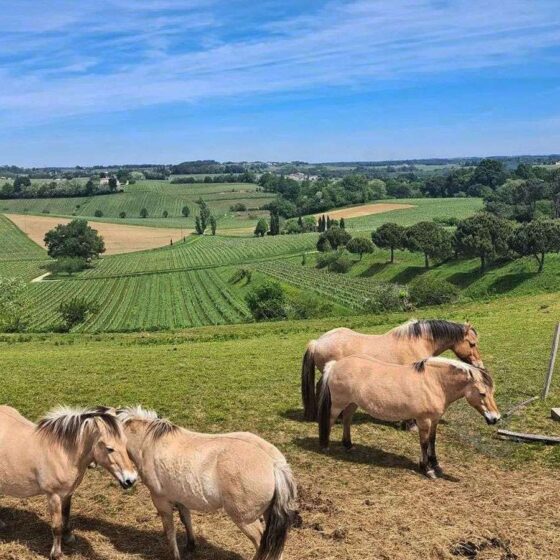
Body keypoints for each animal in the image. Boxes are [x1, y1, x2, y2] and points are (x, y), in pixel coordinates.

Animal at [0, 406, 137, 560]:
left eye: (125, 443)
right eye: (109, 448)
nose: (131, 479)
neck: (63, 454)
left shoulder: (67, 494)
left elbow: (66, 516)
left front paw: (68, 537)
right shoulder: (53, 496)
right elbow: (57, 526)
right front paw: (56, 554)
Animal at [115, 406, 296, 560]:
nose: (127, 482)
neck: (149, 443)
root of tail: (274, 464)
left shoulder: (161, 501)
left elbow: (170, 531)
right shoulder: (181, 498)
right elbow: (185, 519)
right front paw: (191, 545)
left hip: (245, 520)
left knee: (261, 543)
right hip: (268, 513)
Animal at [318, 356, 500, 480]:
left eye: (492, 392)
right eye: (482, 393)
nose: (495, 418)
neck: (434, 382)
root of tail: (335, 365)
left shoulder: (434, 420)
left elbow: (433, 441)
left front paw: (436, 464)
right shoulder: (423, 420)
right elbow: (424, 443)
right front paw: (427, 469)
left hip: (352, 403)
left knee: (347, 420)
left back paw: (348, 445)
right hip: (338, 404)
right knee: (330, 421)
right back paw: (325, 446)